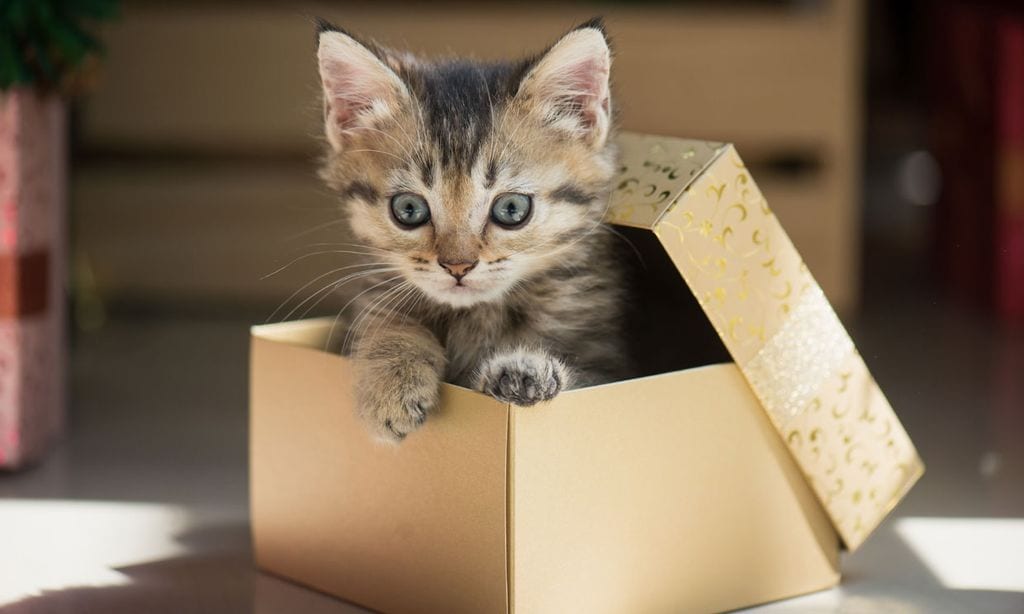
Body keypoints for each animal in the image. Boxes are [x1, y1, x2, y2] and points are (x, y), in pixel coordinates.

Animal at [315, 18, 626, 442]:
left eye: (511, 209)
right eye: (408, 209)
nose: (458, 266)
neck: (477, 316)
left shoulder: (608, 359)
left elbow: (588, 379)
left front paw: (524, 370)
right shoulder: (373, 295)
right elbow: (385, 319)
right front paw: (390, 384)